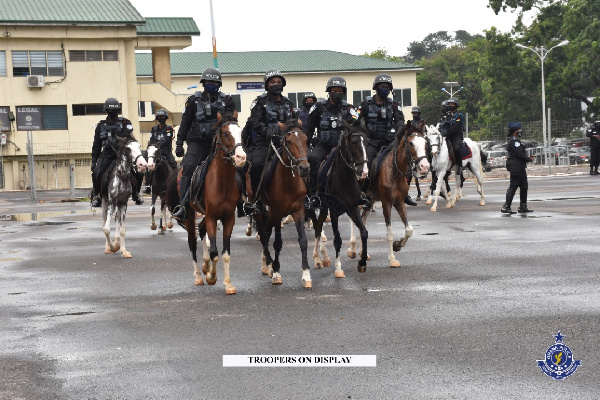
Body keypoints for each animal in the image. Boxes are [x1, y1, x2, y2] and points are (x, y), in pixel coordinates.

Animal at [166, 112, 246, 294]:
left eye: (241, 132)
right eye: (225, 133)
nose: (241, 157)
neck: (222, 182)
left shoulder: (228, 218)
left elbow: (225, 253)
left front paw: (228, 283)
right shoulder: (211, 216)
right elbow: (214, 252)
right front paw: (211, 277)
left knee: (201, 231)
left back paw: (205, 266)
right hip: (190, 216)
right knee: (192, 242)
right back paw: (198, 275)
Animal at [251, 119, 312, 288]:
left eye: (305, 140)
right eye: (289, 142)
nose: (304, 168)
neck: (288, 182)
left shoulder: (298, 211)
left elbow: (303, 241)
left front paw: (306, 274)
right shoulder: (277, 212)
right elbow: (277, 243)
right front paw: (277, 272)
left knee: (266, 232)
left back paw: (267, 263)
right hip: (260, 212)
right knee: (264, 236)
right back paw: (269, 265)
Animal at [310, 122, 370, 276]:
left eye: (367, 142)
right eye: (354, 143)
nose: (364, 172)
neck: (345, 180)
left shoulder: (353, 209)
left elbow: (364, 232)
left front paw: (362, 262)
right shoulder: (334, 212)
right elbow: (337, 240)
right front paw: (338, 268)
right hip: (321, 208)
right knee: (317, 227)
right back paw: (318, 259)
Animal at [346, 120, 432, 268]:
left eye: (425, 143)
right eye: (411, 143)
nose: (425, 167)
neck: (395, 171)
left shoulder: (399, 201)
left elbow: (409, 230)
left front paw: (398, 245)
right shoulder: (386, 202)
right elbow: (390, 232)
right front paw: (392, 258)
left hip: (370, 200)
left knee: (363, 220)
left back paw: (364, 253)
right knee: (353, 219)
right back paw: (352, 249)